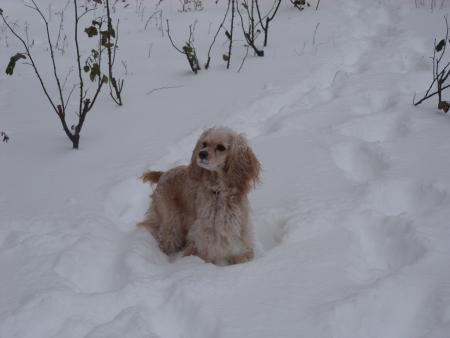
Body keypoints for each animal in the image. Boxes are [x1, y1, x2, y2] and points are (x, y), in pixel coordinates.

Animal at [140, 127, 260, 264]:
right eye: (204, 144)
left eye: (221, 147)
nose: (202, 154)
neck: (219, 191)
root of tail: (163, 173)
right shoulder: (205, 229)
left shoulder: (238, 225)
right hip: (170, 221)